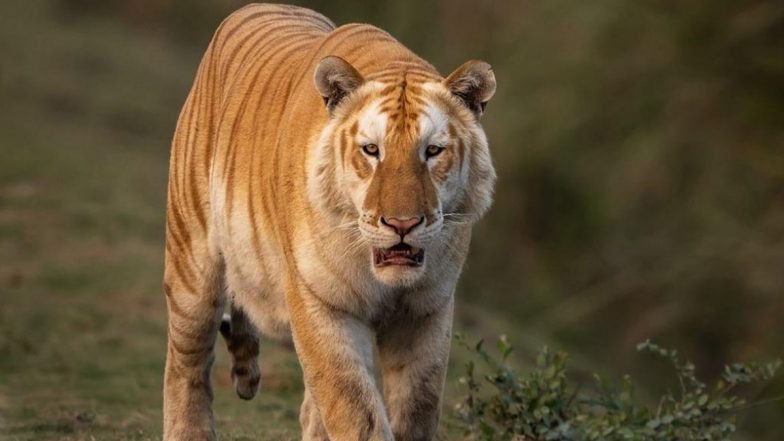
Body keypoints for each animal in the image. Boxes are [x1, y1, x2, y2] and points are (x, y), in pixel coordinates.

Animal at [162, 4, 496, 440]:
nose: (402, 223)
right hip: (192, 264)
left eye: (433, 151)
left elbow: (417, 408)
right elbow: (355, 409)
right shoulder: (321, 303)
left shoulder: (426, 311)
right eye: (371, 150)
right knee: (186, 364)